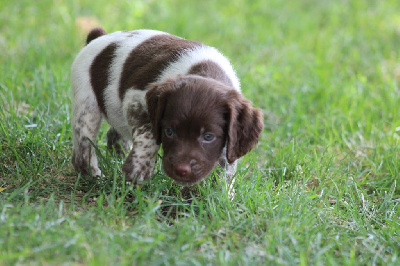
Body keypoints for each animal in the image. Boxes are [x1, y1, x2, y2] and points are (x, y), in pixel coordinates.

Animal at [70, 26, 264, 185]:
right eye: (169, 131)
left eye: (208, 136)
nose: (181, 170)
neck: (204, 71)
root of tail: (98, 37)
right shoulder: (136, 100)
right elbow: (148, 136)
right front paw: (138, 171)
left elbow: (227, 165)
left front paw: (221, 196)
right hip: (87, 105)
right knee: (83, 147)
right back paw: (93, 176)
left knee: (115, 135)